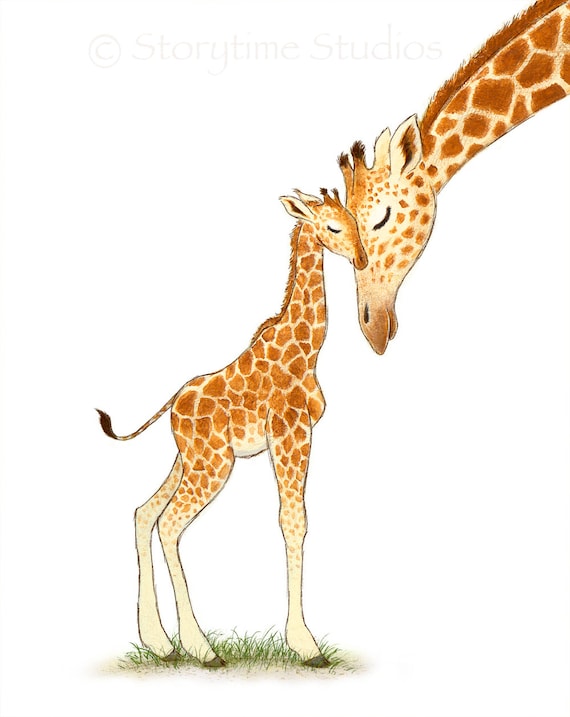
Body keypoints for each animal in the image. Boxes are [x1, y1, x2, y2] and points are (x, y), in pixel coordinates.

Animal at [97, 188, 367, 667]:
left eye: (355, 221)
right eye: (333, 226)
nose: (361, 258)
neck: (308, 349)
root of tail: (173, 404)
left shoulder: (294, 436)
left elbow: (294, 520)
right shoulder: (291, 432)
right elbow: (293, 521)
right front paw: (305, 644)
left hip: (190, 459)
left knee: (144, 512)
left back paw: (160, 642)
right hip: (212, 464)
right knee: (169, 524)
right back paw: (201, 648)